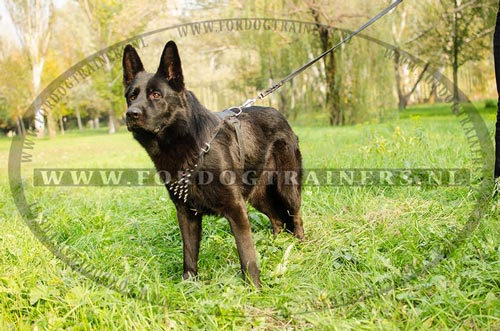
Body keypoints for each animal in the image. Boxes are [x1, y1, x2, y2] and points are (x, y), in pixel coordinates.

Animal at [123, 40, 302, 288]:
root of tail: (281, 116)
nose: (131, 114)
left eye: (156, 94)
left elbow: (247, 255)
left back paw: (303, 248)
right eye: (131, 96)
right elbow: (189, 254)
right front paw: (188, 286)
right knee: (277, 220)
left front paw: (255, 288)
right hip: (258, 196)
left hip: (287, 189)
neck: (192, 147)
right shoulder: (186, 213)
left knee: (296, 218)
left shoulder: (236, 208)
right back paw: (275, 246)